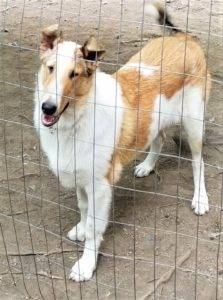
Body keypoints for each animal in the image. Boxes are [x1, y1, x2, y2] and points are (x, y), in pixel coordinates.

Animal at [33, 1, 211, 282]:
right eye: (50, 68)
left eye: (74, 74)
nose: (47, 108)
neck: (79, 117)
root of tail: (183, 38)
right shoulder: (82, 177)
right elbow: (84, 209)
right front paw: (81, 228)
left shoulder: (100, 184)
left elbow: (94, 225)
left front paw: (86, 264)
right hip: (154, 120)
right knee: (159, 139)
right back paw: (147, 166)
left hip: (194, 123)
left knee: (198, 162)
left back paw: (200, 199)